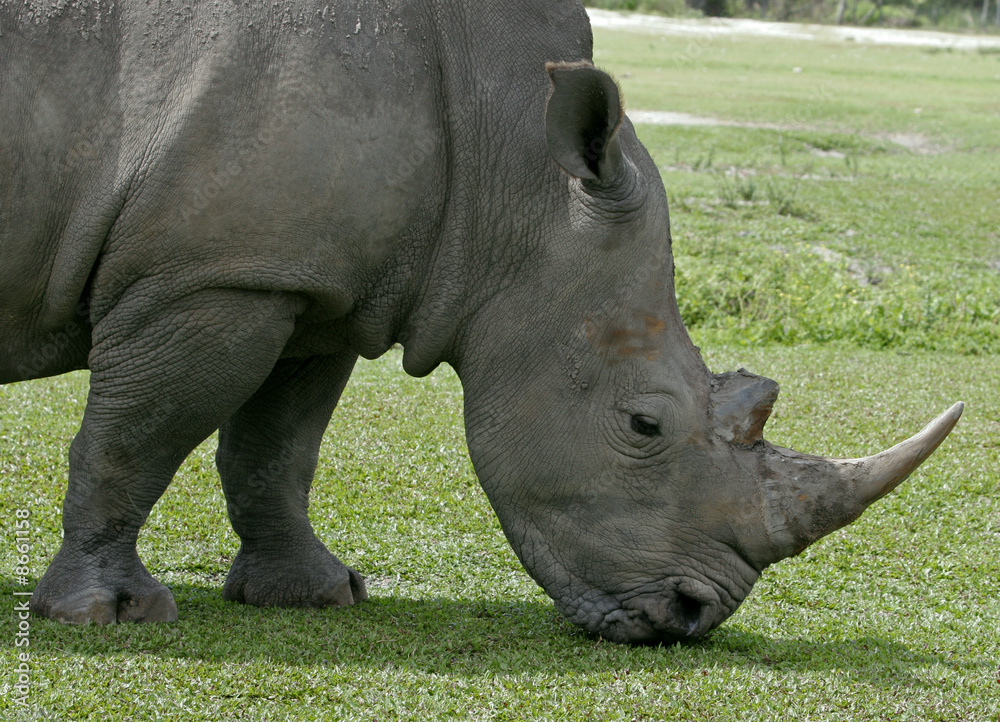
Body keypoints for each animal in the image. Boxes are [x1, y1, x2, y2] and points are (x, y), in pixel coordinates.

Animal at [1, 0, 962, 644]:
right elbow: (134, 440)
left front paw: (317, 595)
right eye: (644, 424)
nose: (691, 617)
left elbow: (276, 450)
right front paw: (105, 615)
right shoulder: (210, 279)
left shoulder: (305, 287)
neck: (513, 163)